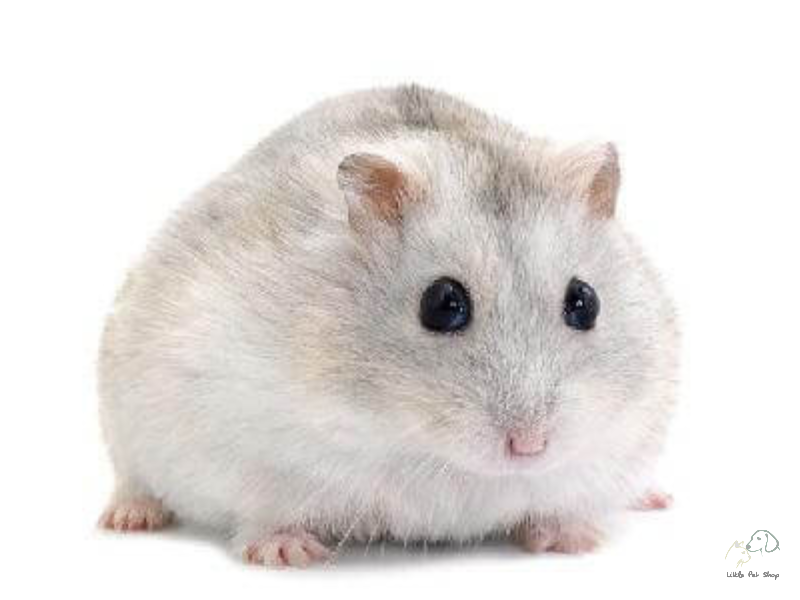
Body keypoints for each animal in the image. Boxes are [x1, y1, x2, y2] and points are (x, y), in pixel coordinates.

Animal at [98, 84, 679, 567]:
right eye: (442, 303)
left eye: (585, 302)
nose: (530, 446)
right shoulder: (245, 444)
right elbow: (265, 513)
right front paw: (288, 554)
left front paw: (575, 541)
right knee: (132, 479)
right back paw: (128, 519)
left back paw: (655, 497)